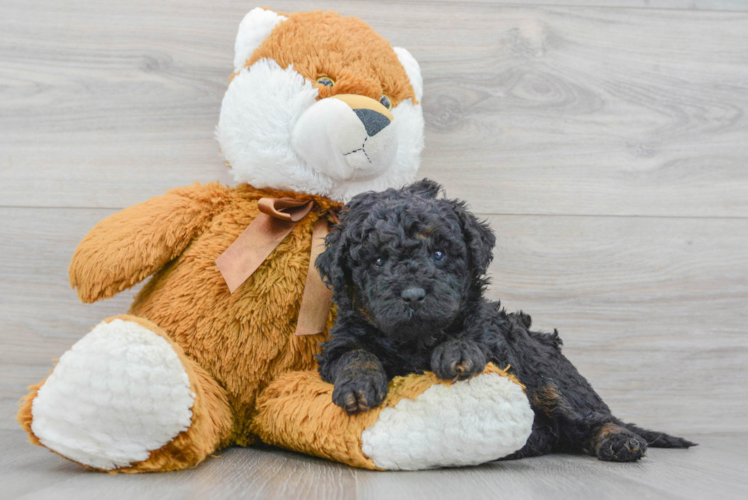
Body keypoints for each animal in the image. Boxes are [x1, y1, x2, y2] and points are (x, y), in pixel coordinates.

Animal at [316, 179, 696, 460]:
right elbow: (354, 353)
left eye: (438, 254)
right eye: (378, 261)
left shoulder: (493, 335)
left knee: (590, 417)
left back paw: (618, 440)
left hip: (549, 372)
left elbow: (471, 334)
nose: (412, 294)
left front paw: (457, 353)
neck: (415, 341)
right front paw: (358, 385)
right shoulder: (340, 341)